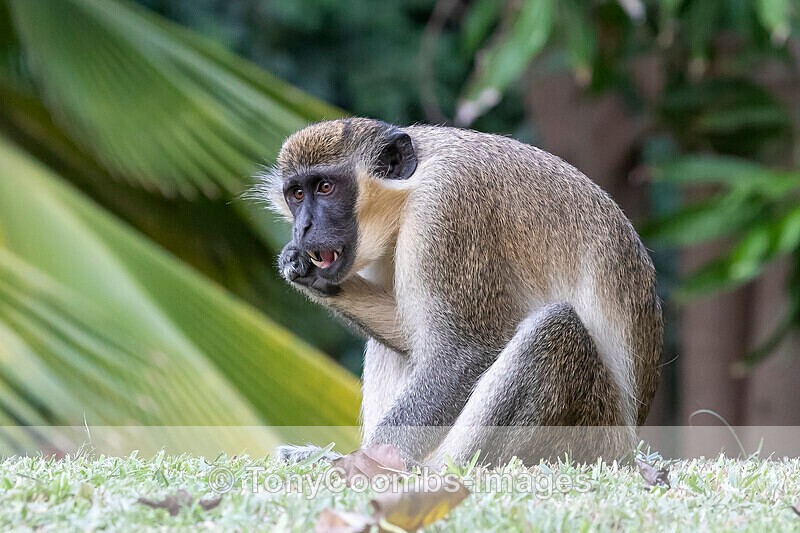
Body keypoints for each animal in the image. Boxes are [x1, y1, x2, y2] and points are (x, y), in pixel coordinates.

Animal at [252, 118, 662, 467]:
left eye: (325, 187)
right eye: (296, 194)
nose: (303, 228)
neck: (411, 187)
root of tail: (629, 446)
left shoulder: (446, 208)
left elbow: (462, 355)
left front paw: (362, 462)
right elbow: (413, 337)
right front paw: (299, 268)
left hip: (593, 428)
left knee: (555, 329)